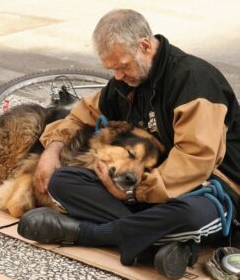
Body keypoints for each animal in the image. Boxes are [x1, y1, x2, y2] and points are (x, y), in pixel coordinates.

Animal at [0, 104, 163, 218]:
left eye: (147, 169)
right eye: (131, 153)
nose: (131, 180)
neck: (89, 158)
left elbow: (18, 206)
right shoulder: (37, 170)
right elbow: (16, 204)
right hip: (28, 130)